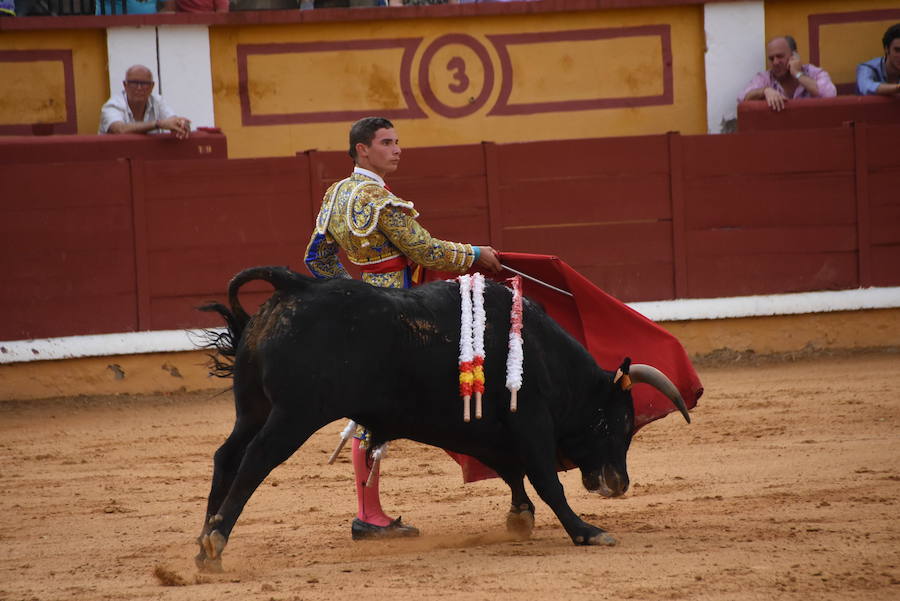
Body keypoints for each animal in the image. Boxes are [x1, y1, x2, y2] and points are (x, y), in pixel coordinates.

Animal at [197, 266, 688, 568]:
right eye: (619, 424)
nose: (619, 484)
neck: (543, 354)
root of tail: (293, 286)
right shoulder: (530, 421)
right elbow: (546, 479)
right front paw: (586, 531)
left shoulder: (483, 430)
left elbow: (511, 470)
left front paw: (519, 517)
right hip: (294, 415)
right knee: (255, 461)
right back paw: (217, 541)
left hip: (253, 409)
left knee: (226, 457)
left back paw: (203, 544)